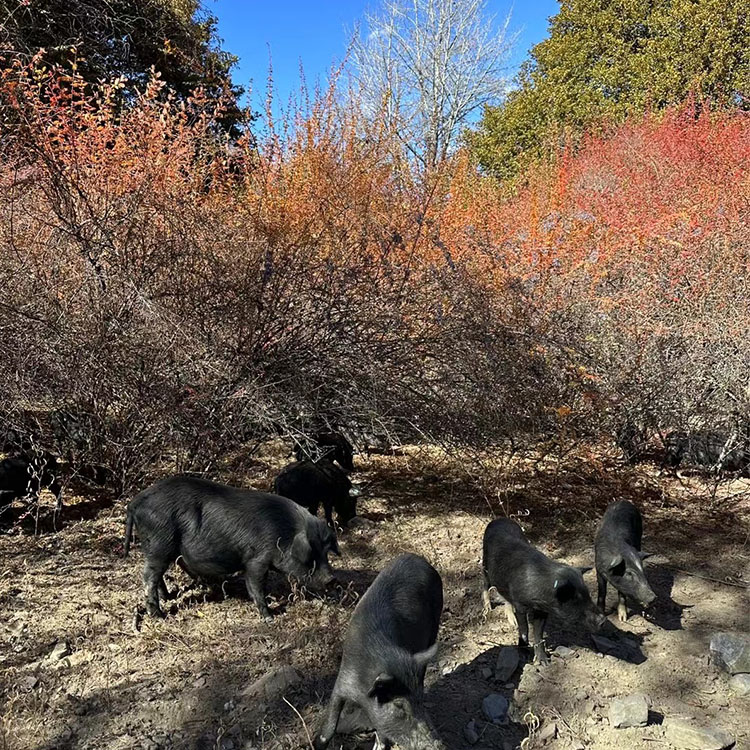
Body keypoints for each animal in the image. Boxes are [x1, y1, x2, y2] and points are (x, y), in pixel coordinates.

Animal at [124, 476, 340, 624]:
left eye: (325, 553)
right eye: (310, 556)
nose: (331, 579)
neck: (283, 533)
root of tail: (135, 502)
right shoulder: (256, 559)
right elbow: (255, 586)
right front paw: (269, 618)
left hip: (159, 549)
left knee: (157, 575)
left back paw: (169, 597)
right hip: (159, 544)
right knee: (148, 577)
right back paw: (159, 616)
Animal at [314, 552, 444, 750]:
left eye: (420, 701)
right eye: (399, 705)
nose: (438, 745)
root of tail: (418, 558)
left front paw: (378, 746)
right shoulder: (343, 680)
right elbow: (330, 721)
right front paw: (316, 743)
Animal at [484, 520, 608, 668]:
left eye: (587, 594)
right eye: (574, 598)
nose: (603, 620)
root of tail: (498, 520)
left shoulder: (542, 611)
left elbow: (539, 634)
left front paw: (545, 663)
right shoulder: (521, 605)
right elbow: (524, 629)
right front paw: (525, 654)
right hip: (485, 567)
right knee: (485, 585)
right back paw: (488, 610)